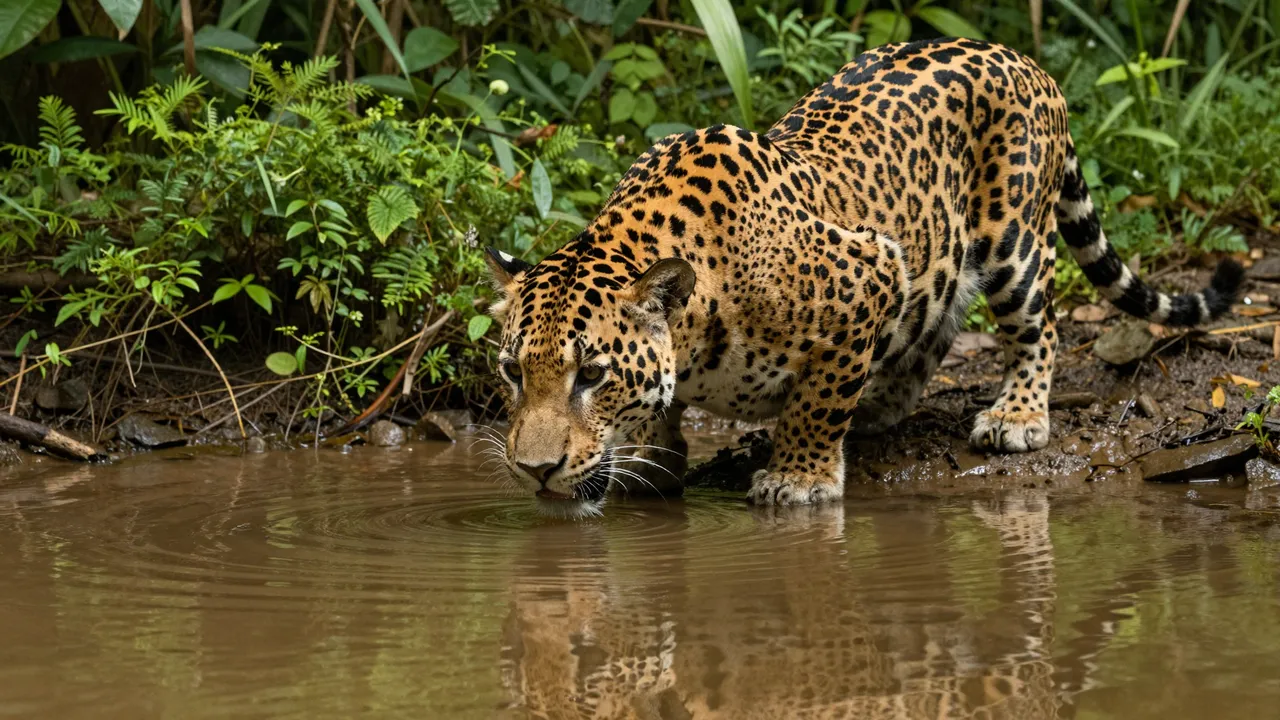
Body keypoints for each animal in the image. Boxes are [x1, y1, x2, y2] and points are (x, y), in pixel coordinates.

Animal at [484, 37, 1243, 518]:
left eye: (591, 376)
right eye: (513, 372)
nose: (534, 470)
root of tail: (1019, 57)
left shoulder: (869, 277)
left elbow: (817, 405)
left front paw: (798, 478)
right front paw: (651, 457)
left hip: (1014, 242)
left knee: (1040, 325)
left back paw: (1016, 417)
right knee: (937, 324)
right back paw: (881, 402)